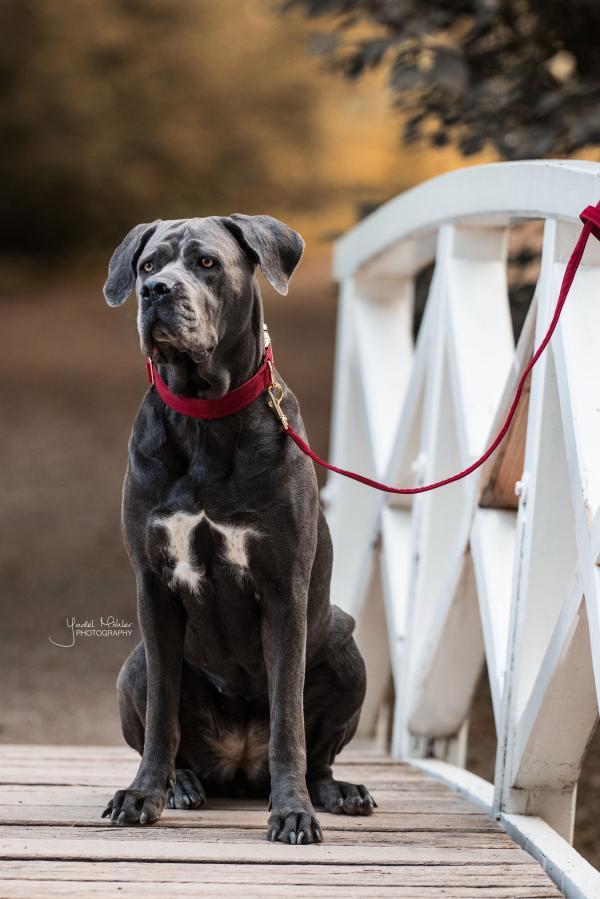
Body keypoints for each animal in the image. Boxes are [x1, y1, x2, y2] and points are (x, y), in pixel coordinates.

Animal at [103, 216, 376, 844]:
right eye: (148, 265)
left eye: (206, 263)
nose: (156, 292)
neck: (206, 417)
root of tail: (238, 762)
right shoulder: (153, 587)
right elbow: (161, 718)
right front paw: (143, 794)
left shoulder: (284, 592)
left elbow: (288, 722)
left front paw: (293, 810)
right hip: (134, 663)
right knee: (170, 724)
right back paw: (182, 784)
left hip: (346, 646)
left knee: (317, 752)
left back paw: (336, 792)